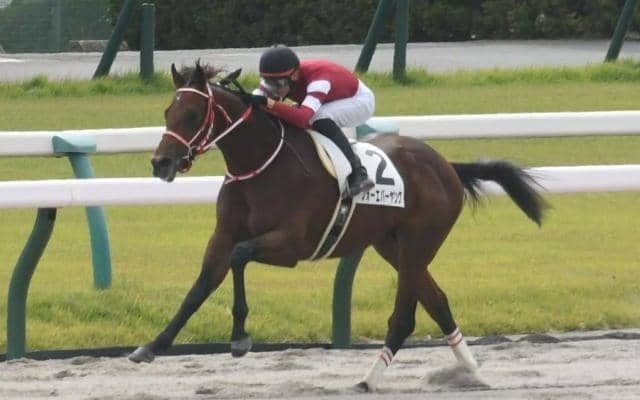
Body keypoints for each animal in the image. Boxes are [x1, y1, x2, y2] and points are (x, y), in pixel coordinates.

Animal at [129, 61, 546, 391]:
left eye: (193, 114)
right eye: (167, 111)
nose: (161, 163)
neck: (261, 164)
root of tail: (447, 165)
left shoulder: (291, 244)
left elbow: (240, 255)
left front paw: (239, 337)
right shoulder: (222, 236)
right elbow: (198, 289)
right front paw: (152, 346)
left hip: (418, 243)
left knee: (405, 317)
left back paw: (369, 379)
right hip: (392, 246)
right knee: (438, 302)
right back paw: (473, 372)